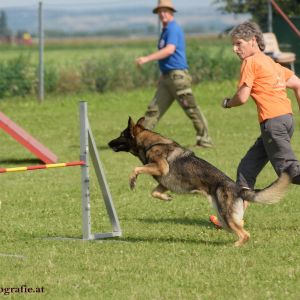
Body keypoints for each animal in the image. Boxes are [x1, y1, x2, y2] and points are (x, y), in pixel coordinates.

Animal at [108, 117, 290, 246]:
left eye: (121, 135)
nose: (108, 143)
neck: (151, 143)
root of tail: (239, 189)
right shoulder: (163, 182)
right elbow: (154, 192)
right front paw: (166, 198)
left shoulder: (161, 168)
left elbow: (136, 168)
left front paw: (132, 181)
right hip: (224, 218)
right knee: (241, 229)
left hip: (226, 216)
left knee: (245, 235)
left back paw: (234, 246)